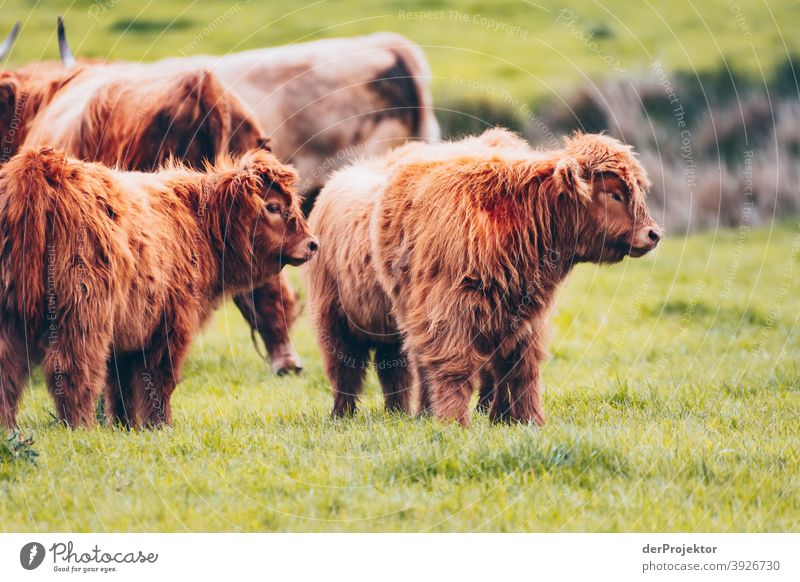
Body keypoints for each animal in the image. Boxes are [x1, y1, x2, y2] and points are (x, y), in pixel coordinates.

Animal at [0, 146, 318, 428]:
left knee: (9, 372)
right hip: (83, 315)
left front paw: (126, 426)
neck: (199, 225)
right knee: (73, 369)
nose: (313, 243)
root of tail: (41, 165)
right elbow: (159, 379)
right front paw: (160, 425)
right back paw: (80, 427)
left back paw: (9, 430)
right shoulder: (170, 324)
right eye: (273, 207)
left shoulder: (128, 332)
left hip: (11, 316)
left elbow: (121, 386)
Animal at [310, 129, 660, 428]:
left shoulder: (524, 319)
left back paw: (409, 412)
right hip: (337, 317)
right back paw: (345, 415)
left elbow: (521, 370)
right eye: (614, 194)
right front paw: (455, 422)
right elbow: (456, 367)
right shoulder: (450, 311)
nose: (653, 233)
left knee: (398, 368)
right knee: (348, 369)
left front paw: (524, 420)